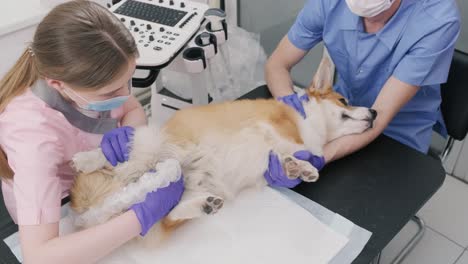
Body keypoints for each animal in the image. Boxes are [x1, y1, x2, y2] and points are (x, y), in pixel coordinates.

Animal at [69, 57, 376, 239]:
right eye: (344, 100)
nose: (375, 112)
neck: (315, 126)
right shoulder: (278, 125)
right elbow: (291, 143)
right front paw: (302, 160)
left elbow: (289, 158)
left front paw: (299, 168)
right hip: (151, 142)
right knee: (121, 158)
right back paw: (86, 159)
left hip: (186, 188)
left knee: (168, 215)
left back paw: (203, 205)